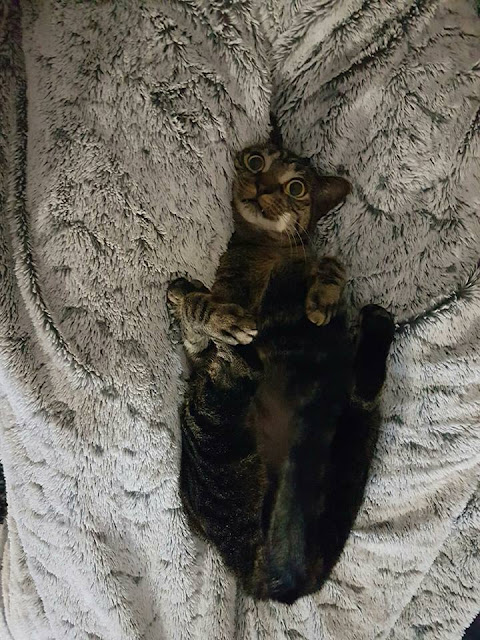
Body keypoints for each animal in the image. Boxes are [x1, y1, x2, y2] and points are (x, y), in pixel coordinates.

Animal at [167, 143, 395, 604]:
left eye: (296, 188)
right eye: (257, 161)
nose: (263, 186)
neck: (266, 251)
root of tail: (276, 582)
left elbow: (332, 262)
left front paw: (323, 296)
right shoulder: (203, 350)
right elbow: (205, 318)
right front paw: (210, 310)